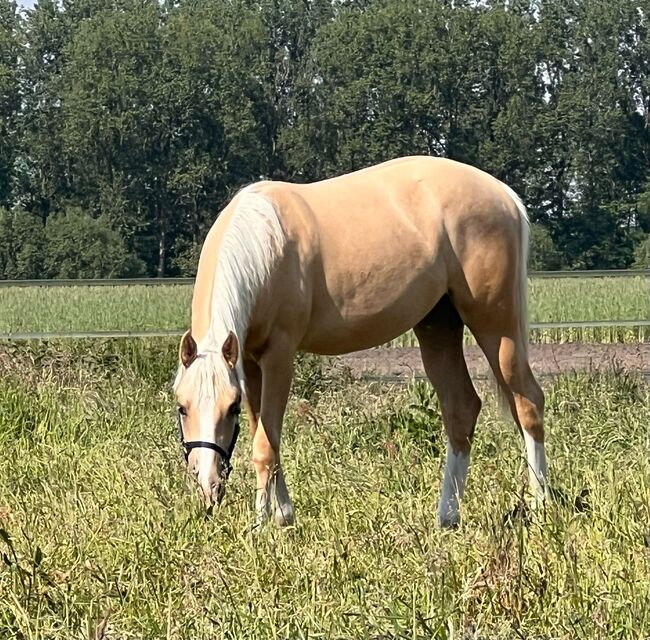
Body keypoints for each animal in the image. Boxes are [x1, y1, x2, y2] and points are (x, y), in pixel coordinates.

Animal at [173, 155, 548, 524]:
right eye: (182, 407)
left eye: (230, 407)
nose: (208, 484)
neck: (265, 243)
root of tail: (504, 194)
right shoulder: (250, 362)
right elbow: (264, 436)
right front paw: (283, 515)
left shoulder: (278, 357)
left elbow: (266, 445)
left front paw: (262, 524)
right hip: (439, 327)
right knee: (462, 409)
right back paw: (447, 517)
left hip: (495, 325)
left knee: (528, 403)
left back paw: (540, 504)